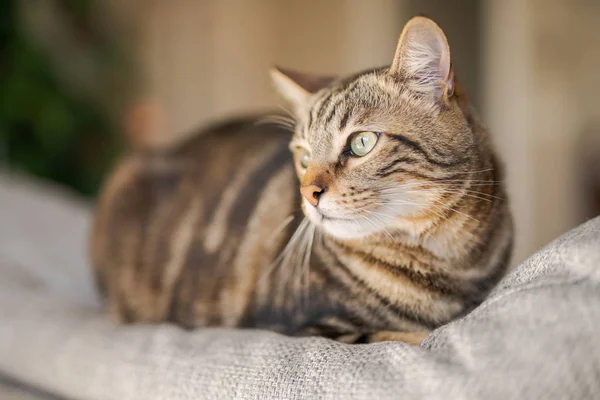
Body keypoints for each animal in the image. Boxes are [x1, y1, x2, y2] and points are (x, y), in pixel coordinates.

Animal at [91, 16, 512, 344]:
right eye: (304, 156)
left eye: (362, 142)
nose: (308, 193)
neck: (451, 257)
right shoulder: (299, 327)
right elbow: (406, 334)